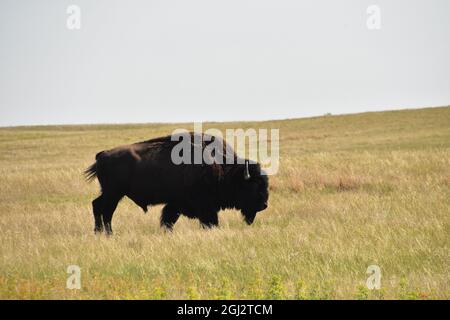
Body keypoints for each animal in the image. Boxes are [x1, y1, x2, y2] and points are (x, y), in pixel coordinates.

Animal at [84, 131, 268, 234]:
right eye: (253, 185)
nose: (264, 205)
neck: (224, 169)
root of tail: (103, 154)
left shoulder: (176, 204)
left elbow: (168, 219)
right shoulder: (204, 207)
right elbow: (208, 221)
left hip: (111, 193)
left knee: (98, 206)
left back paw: (101, 232)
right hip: (113, 194)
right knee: (105, 210)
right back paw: (106, 233)